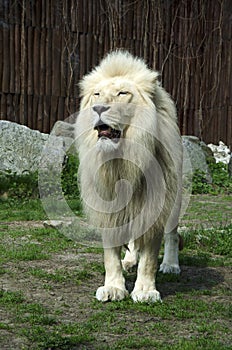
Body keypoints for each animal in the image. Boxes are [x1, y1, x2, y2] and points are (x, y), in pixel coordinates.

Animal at [75, 50, 182, 302]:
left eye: (123, 93)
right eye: (96, 94)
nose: (99, 108)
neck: (121, 162)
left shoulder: (156, 205)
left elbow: (150, 257)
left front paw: (145, 291)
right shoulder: (108, 208)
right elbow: (111, 257)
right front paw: (113, 288)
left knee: (172, 234)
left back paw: (171, 265)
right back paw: (130, 260)